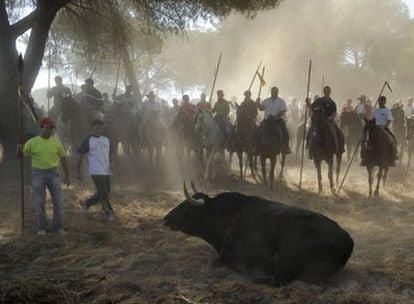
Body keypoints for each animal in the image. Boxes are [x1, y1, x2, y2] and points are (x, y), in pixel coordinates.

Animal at [164, 184, 352, 286]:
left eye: (185, 207)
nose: (165, 218)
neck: (226, 216)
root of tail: (347, 239)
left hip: (282, 259)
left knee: (280, 281)